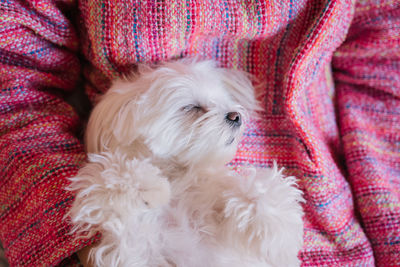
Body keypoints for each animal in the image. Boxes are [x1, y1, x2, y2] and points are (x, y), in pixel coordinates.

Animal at [66, 60, 304, 267]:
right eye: (192, 107)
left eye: (223, 101)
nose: (235, 116)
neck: (176, 175)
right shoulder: (135, 250)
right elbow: (117, 176)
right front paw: (149, 187)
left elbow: (267, 197)